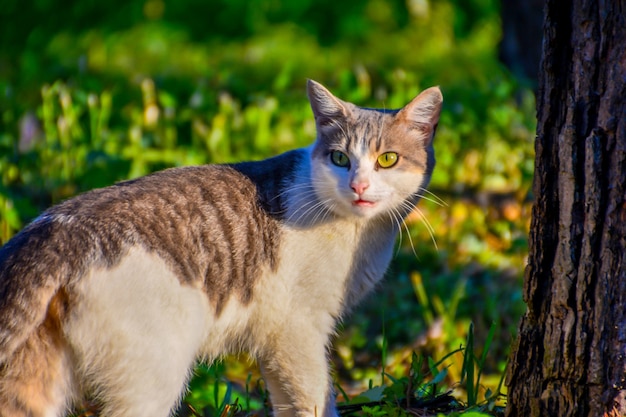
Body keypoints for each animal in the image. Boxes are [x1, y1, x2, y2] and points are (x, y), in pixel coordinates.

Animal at [0, 80, 442, 416]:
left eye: (387, 159)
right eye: (338, 158)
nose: (358, 186)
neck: (361, 232)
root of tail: (51, 232)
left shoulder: (275, 344)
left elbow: (288, 401)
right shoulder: (297, 331)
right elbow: (316, 398)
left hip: (39, 376)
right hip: (154, 371)